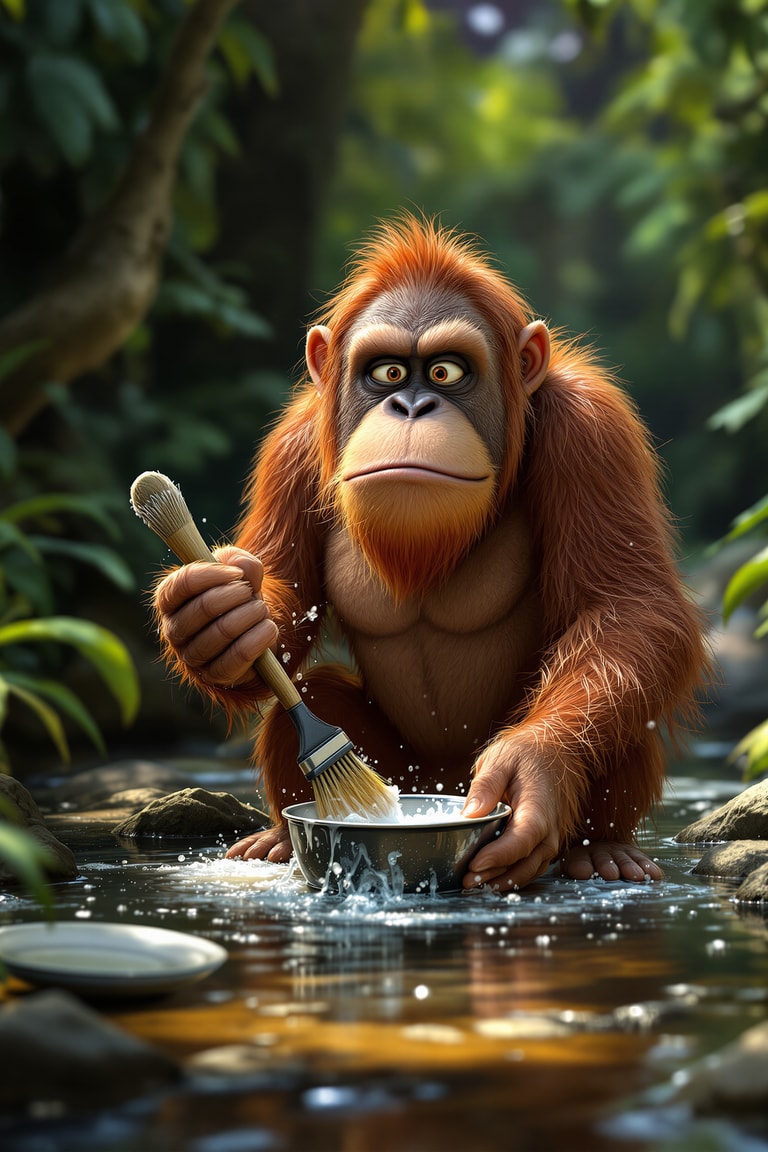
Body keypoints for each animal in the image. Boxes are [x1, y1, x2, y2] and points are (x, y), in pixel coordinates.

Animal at [153, 214, 709, 892]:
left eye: (445, 372)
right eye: (389, 373)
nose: (413, 405)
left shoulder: (591, 429)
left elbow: (630, 608)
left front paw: (534, 771)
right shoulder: (291, 445)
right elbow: (281, 603)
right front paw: (211, 616)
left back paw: (599, 851)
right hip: (396, 765)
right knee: (312, 697)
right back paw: (281, 839)